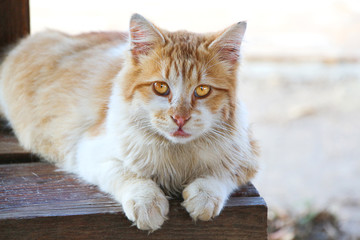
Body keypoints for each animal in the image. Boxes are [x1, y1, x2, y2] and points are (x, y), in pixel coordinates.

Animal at [0, 13, 258, 231]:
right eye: (161, 87)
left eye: (202, 90)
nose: (180, 118)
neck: (176, 152)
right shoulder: (89, 151)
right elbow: (127, 174)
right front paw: (147, 202)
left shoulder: (247, 153)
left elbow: (221, 173)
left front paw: (204, 197)